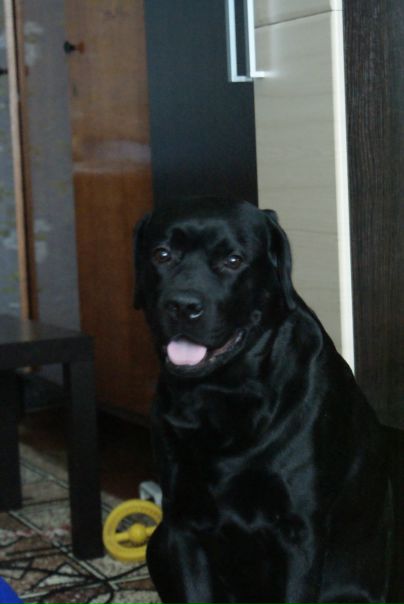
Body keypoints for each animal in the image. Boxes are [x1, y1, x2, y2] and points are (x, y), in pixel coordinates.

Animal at [134, 197, 392, 604]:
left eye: (233, 260)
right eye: (162, 254)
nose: (183, 305)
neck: (223, 395)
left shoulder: (299, 533)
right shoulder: (183, 528)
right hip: (157, 543)